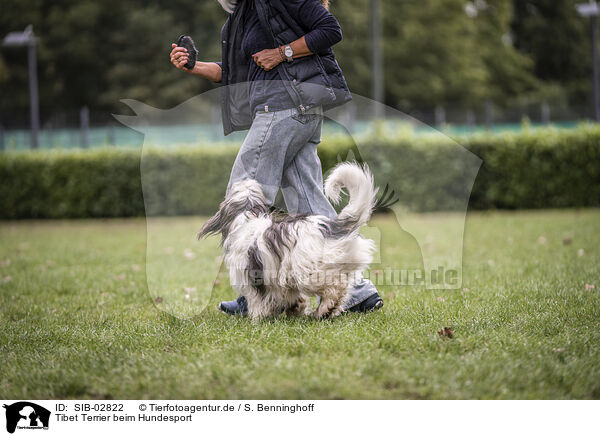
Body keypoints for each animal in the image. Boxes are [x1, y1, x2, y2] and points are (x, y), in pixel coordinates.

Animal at [199, 162, 378, 318]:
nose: (247, 179)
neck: (247, 217)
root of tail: (331, 226)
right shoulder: (282, 279)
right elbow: (292, 297)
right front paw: (295, 309)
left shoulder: (254, 278)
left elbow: (258, 300)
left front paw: (257, 318)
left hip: (311, 273)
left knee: (335, 288)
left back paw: (325, 309)